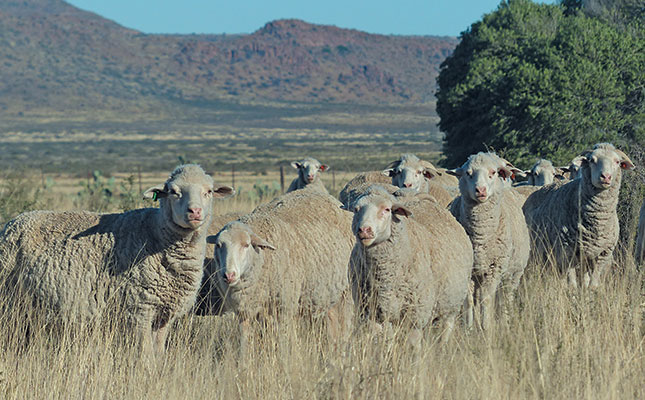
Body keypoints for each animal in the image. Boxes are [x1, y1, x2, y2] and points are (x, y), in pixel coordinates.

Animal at [0, 164, 234, 352]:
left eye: (208, 191)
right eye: (173, 192)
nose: (194, 211)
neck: (155, 234)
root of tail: (14, 222)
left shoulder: (164, 315)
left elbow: (158, 354)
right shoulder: (139, 310)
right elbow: (145, 355)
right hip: (9, 303)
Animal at [344, 185, 470, 344]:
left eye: (387, 209)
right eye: (356, 209)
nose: (364, 230)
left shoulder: (415, 315)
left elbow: (413, 344)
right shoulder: (372, 312)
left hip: (451, 304)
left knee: (446, 328)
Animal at [446, 152, 532, 330]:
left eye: (493, 172)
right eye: (468, 173)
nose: (481, 190)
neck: (480, 235)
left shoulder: (494, 269)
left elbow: (487, 299)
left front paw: (486, 326)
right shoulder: (469, 269)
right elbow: (469, 300)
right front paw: (469, 327)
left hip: (513, 273)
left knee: (505, 297)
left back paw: (505, 321)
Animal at [524, 142, 632, 286]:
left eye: (617, 161)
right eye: (592, 160)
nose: (606, 177)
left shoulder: (602, 255)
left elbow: (593, 284)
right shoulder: (566, 253)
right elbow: (572, 284)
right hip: (536, 254)